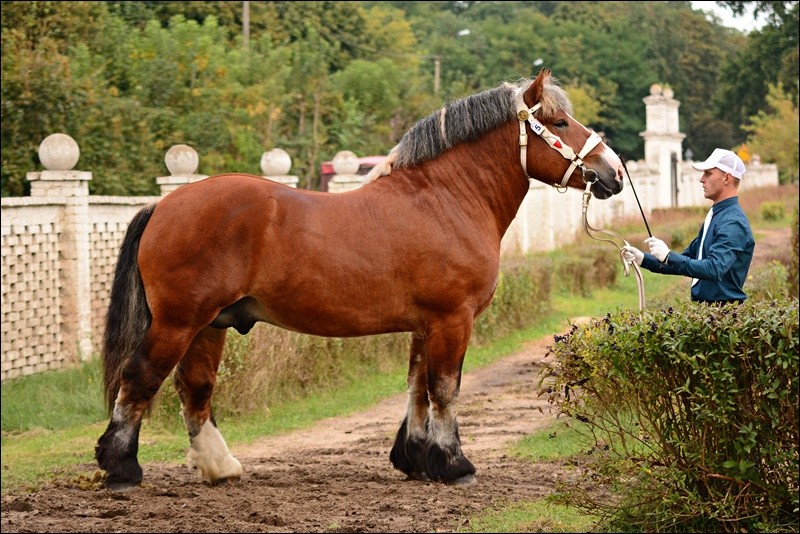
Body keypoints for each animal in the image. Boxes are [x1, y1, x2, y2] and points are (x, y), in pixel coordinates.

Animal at [97, 69, 624, 492]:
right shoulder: (453, 319)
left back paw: (219, 466)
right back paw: (120, 468)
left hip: (211, 325)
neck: (446, 199)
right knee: (140, 377)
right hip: (179, 322)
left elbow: (417, 387)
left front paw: (415, 459)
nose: (614, 173)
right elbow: (445, 389)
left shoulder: (426, 324)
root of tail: (164, 205)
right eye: (559, 123)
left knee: (196, 388)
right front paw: (454, 465)